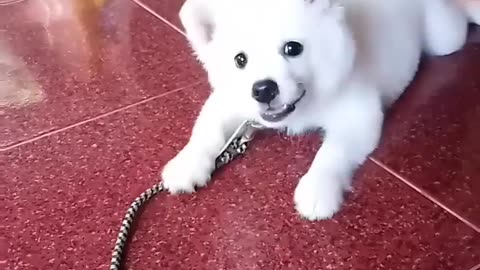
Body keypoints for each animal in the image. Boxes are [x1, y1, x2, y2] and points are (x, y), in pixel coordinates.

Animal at [162, 0, 480, 219]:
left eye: (293, 48)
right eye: (240, 60)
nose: (263, 89)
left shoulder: (359, 115)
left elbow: (331, 153)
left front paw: (317, 189)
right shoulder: (228, 101)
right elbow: (207, 132)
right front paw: (187, 163)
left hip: (444, 38)